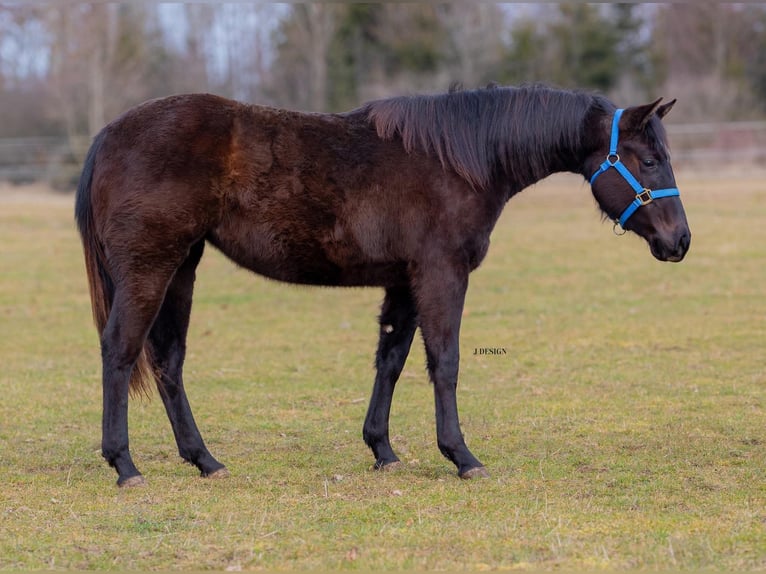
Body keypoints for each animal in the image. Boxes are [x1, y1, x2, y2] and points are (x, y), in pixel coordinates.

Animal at [75, 83, 691, 487]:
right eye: (650, 160)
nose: (680, 240)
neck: (459, 161)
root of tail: (108, 135)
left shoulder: (405, 282)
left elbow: (390, 361)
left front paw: (383, 450)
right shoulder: (441, 274)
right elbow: (445, 362)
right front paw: (461, 456)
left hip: (182, 268)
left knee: (168, 361)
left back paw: (204, 460)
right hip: (150, 268)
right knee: (120, 351)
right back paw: (124, 465)